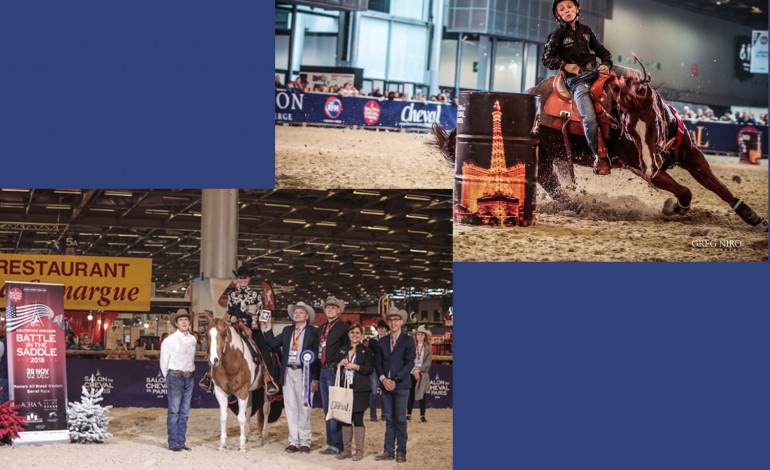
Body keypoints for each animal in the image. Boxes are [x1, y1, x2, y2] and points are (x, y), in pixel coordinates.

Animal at [206, 314, 272, 450]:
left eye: (223, 334)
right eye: (206, 334)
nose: (213, 360)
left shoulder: (242, 392)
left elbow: (241, 417)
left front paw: (241, 446)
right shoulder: (221, 392)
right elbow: (223, 417)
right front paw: (223, 445)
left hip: (265, 389)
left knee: (265, 409)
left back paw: (264, 437)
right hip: (250, 390)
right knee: (249, 409)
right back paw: (247, 435)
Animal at [432, 57, 768, 232]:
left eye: (654, 122)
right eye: (628, 129)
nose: (652, 161)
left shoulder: (691, 155)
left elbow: (718, 187)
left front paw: (752, 217)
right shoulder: (641, 167)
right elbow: (685, 191)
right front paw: (675, 207)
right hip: (544, 160)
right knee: (552, 185)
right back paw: (582, 206)